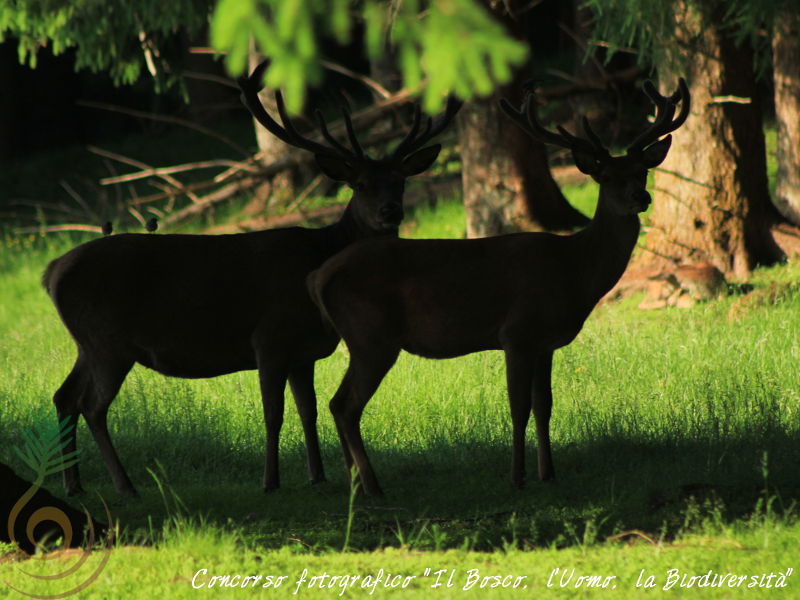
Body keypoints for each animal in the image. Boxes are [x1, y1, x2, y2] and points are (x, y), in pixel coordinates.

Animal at [45, 58, 462, 494]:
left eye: (400, 181)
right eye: (359, 185)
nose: (390, 211)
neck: (320, 254)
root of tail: (51, 272)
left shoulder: (303, 352)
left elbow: (309, 410)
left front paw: (317, 475)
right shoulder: (270, 337)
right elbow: (273, 414)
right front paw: (271, 481)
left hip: (88, 342)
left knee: (63, 397)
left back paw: (74, 484)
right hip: (107, 340)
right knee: (92, 406)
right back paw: (123, 484)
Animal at [306, 77, 688, 496]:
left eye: (642, 172)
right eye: (605, 177)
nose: (641, 196)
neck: (574, 268)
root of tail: (318, 276)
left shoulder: (545, 342)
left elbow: (545, 405)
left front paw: (548, 473)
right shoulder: (517, 332)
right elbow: (518, 407)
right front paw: (517, 477)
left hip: (365, 339)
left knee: (338, 403)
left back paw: (359, 485)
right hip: (371, 336)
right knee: (345, 404)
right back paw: (372, 487)